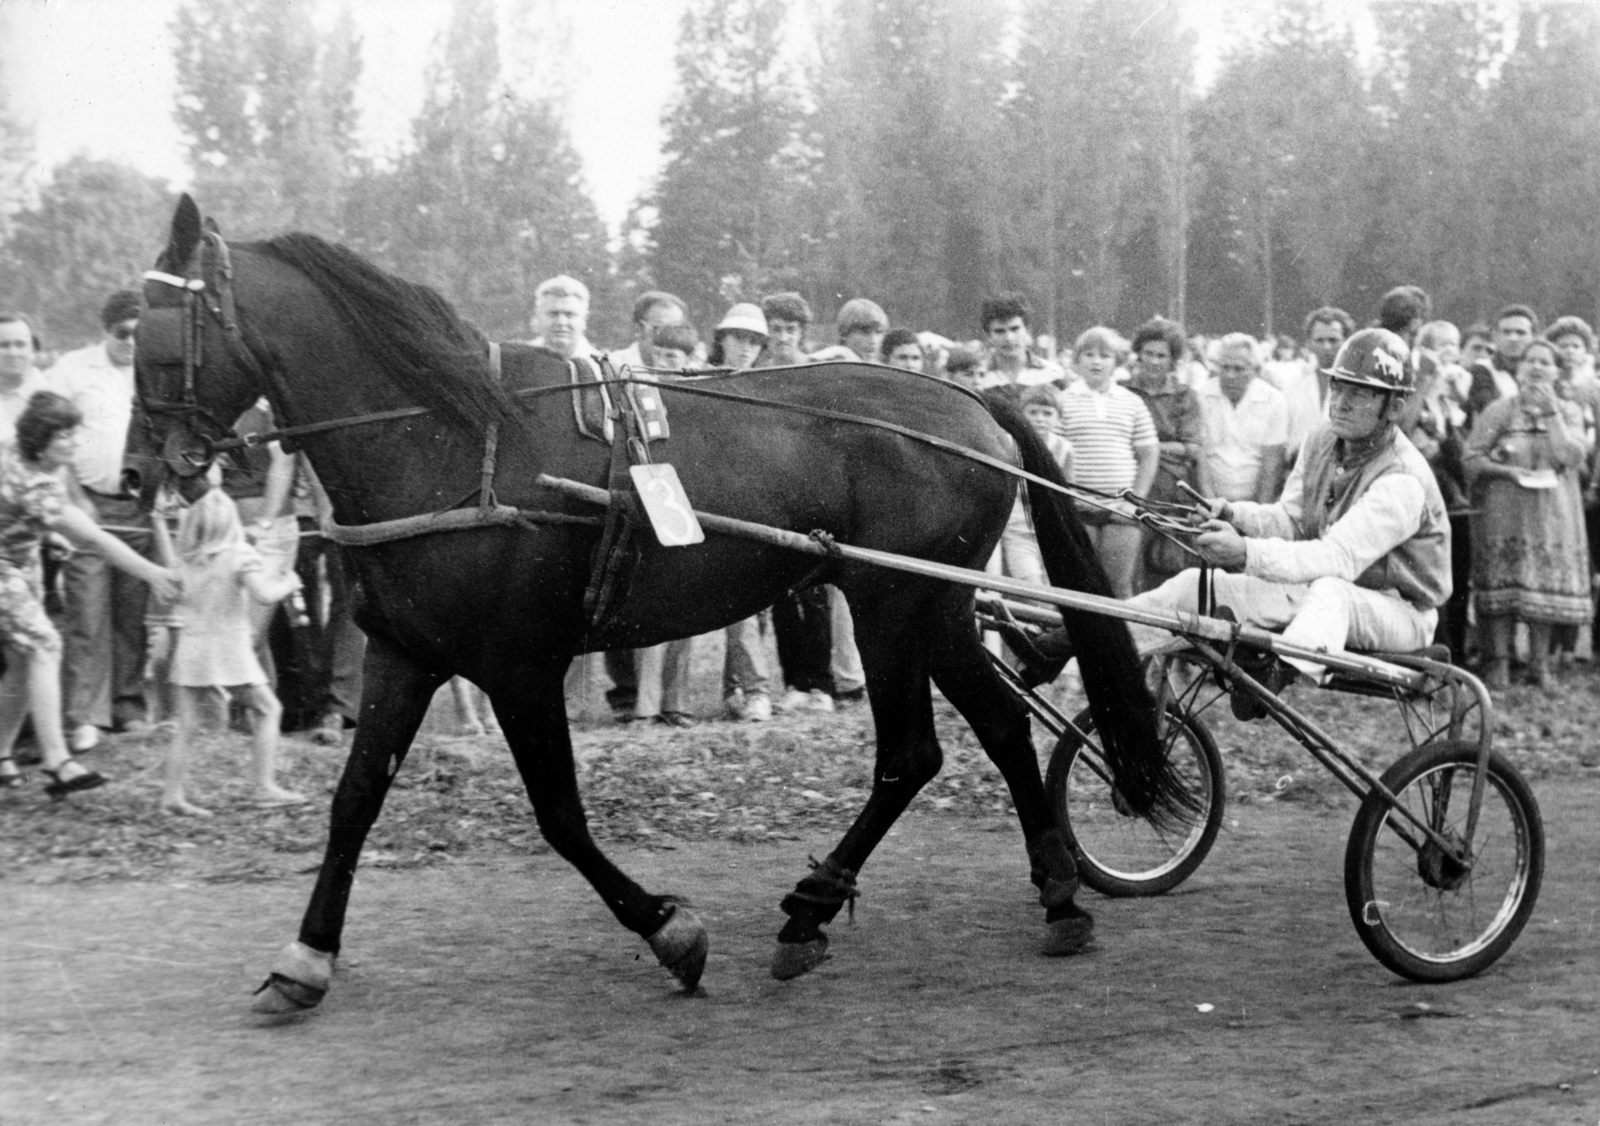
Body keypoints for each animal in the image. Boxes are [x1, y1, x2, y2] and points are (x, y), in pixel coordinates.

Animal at [134, 195, 1190, 1010]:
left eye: (153, 334)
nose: (143, 471)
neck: (456, 443)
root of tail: (975, 404)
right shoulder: (407, 654)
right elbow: (354, 802)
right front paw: (305, 958)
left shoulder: (519, 665)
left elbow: (560, 815)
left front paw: (669, 932)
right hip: (926, 608)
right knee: (1001, 728)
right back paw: (1056, 896)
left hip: (893, 606)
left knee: (912, 753)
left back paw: (816, 907)